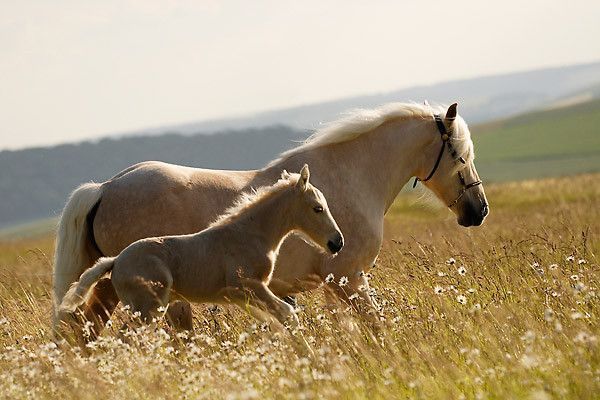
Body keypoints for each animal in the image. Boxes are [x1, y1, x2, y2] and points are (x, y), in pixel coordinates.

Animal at [61, 166, 344, 332]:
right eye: (318, 208)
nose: (336, 242)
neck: (249, 233)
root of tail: (116, 260)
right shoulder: (247, 286)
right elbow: (287, 315)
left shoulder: (243, 296)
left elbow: (272, 322)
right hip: (147, 308)